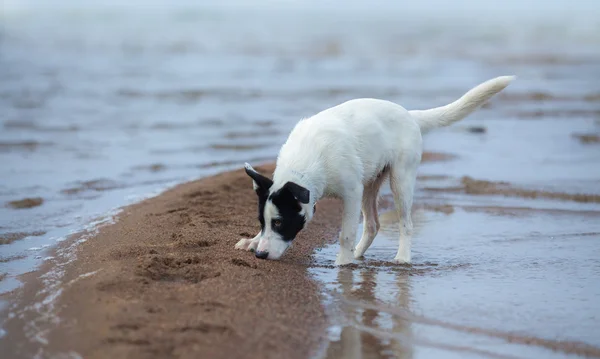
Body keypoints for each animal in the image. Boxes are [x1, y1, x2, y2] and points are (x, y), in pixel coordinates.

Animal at [237, 76, 512, 266]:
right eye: (262, 221)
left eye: (280, 222)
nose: (261, 255)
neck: (304, 166)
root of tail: (410, 115)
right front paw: (253, 240)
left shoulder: (350, 193)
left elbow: (346, 233)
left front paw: (342, 263)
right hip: (370, 184)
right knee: (372, 225)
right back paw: (359, 254)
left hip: (400, 180)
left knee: (406, 224)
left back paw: (401, 257)